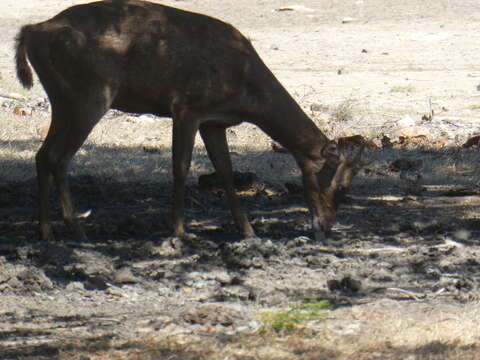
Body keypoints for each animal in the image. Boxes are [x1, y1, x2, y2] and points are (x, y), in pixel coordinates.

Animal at [16, 0, 366, 243]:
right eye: (342, 187)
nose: (326, 226)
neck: (246, 89)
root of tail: (31, 32)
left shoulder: (215, 121)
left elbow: (225, 173)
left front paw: (248, 231)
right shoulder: (187, 106)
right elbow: (181, 167)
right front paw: (180, 230)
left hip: (63, 99)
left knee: (43, 155)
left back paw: (46, 231)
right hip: (90, 95)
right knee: (59, 157)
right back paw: (77, 230)